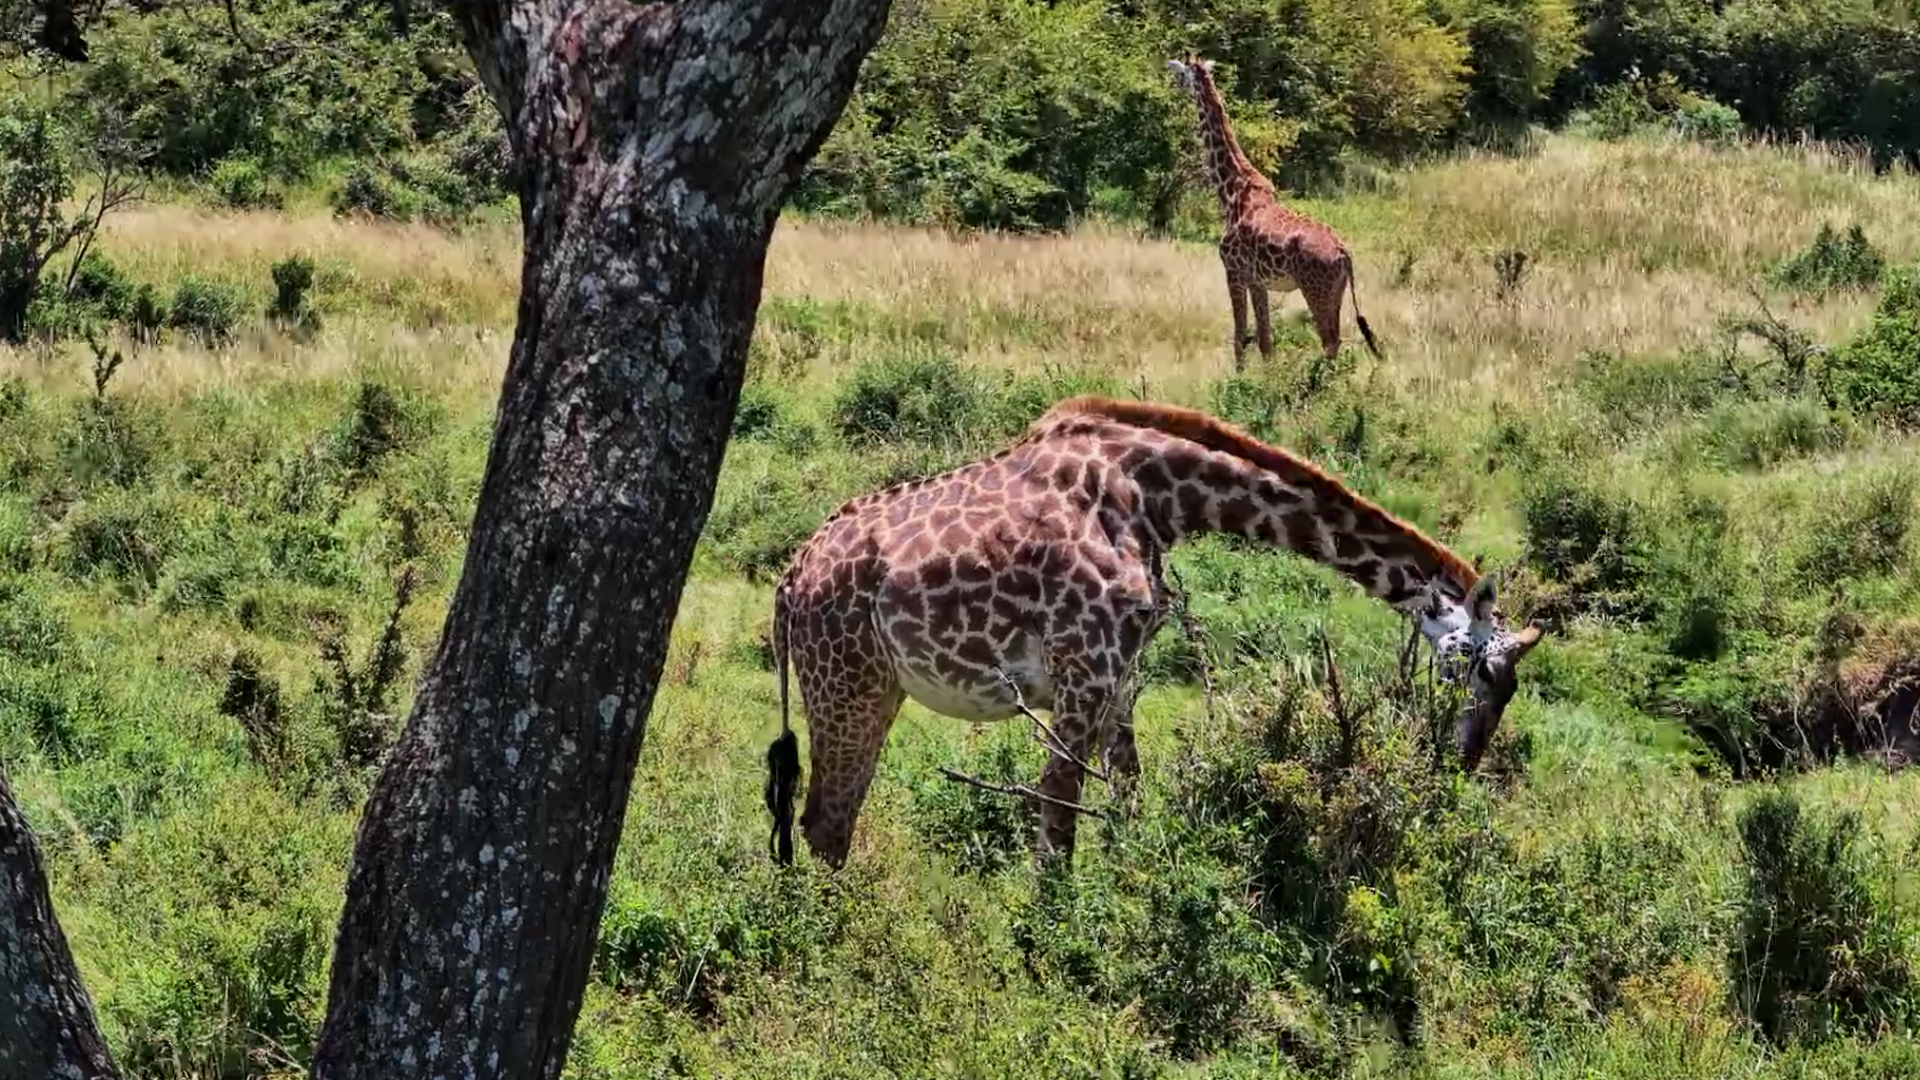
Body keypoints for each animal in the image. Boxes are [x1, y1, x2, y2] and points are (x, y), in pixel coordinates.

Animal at [765, 395, 1544, 869]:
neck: (1157, 498)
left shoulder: (1121, 674)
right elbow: (1057, 827)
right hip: (848, 683)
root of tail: (790, 579)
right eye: (1480, 670)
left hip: (875, 687)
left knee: (821, 819)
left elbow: (1127, 802)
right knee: (824, 823)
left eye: (1510, 689)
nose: (1462, 765)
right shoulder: (1082, 670)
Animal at [1165, 52, 1381, 373]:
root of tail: (1345, 254)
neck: (1232, 190)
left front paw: (1241, 379)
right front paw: (1267, 377)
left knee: (1329, 340)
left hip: (1315, 289)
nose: (1173, 84)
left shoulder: (1234, 271)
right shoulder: (1259, 281)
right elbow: (1265, 340)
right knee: (1336, 339)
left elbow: (1241, 337)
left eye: (1180, 73)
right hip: (1336, 291)